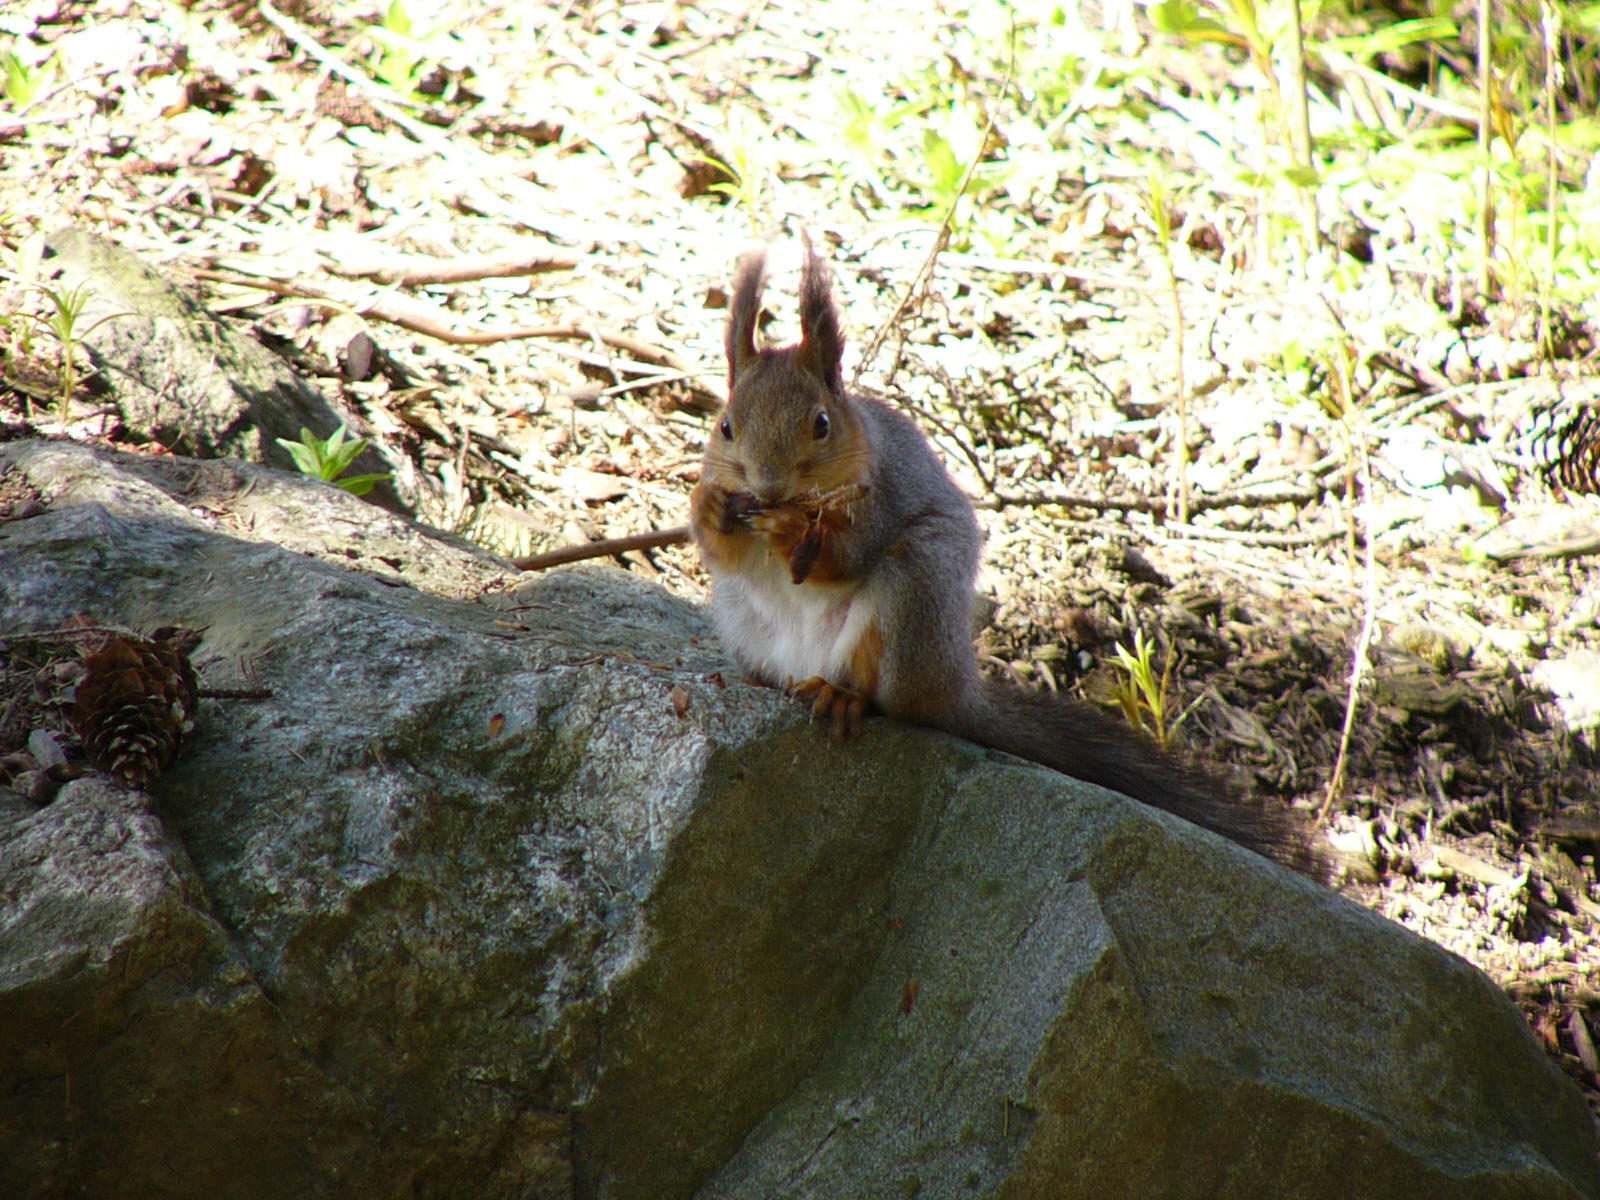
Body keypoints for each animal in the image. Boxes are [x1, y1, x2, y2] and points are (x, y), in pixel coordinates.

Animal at [689, 242, 1319, 876]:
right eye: (725, 425)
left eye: (821, 424)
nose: (767, 487)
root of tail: (956, 685)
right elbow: (723, 551)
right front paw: (710, 506)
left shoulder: (881, 498)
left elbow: (842, 555)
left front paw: (795, 528)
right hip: (744, 621)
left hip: (913, 591)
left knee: (891, 700)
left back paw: (844, 696)